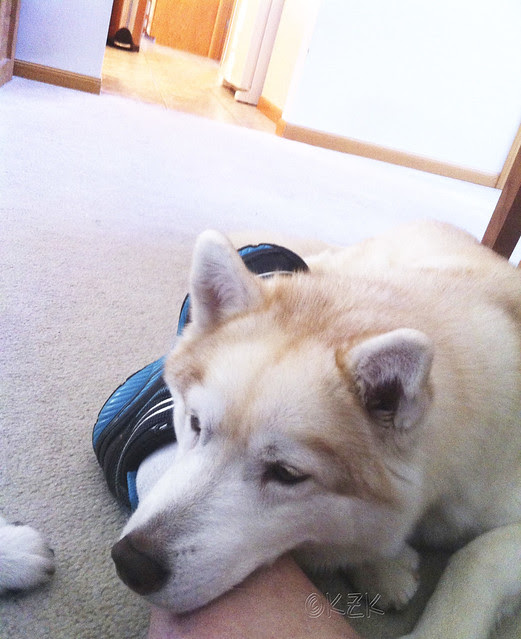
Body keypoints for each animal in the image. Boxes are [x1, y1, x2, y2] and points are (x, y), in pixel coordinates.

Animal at [112, 221, 521, 639]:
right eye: (195, 423)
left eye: (286, 474)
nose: (131, 562)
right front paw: (383, 567)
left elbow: (478, 556)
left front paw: (439, 627)